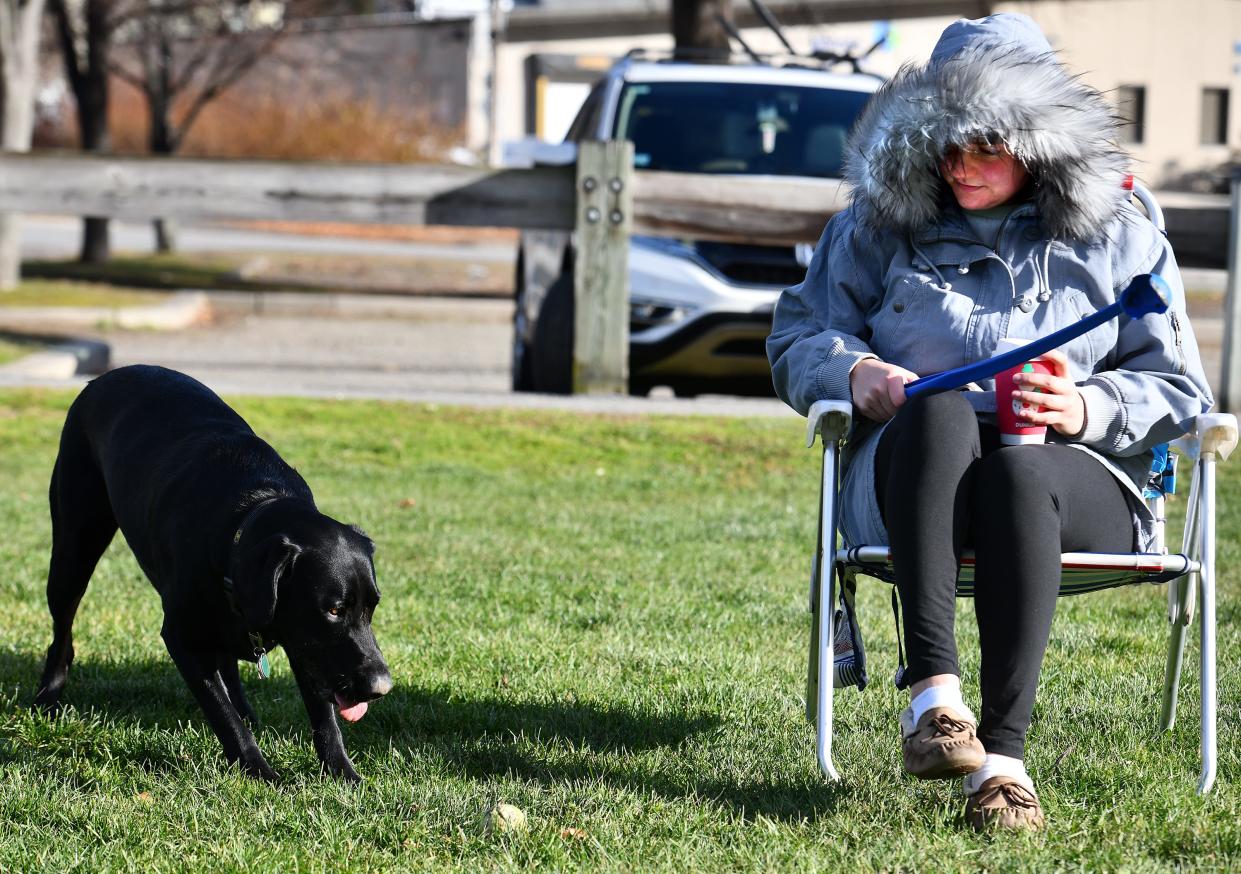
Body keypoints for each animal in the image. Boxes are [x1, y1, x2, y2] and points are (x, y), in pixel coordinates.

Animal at [33, 364, 389, 779]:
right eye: (333, 610)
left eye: (372, 608)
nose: (382, 686)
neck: (249, 512)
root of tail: (109, 375)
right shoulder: (182, 637)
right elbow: (222, 714)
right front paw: (259, 770)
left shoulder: (303, 643)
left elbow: (324, 717)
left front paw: (343, 771)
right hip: (72, 551)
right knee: (63, 633)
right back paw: (47, 696)